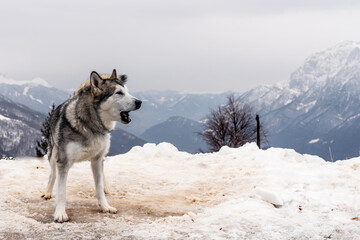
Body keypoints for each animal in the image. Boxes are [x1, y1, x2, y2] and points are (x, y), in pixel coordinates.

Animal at [42, 69, 142, 223]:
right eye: (119, 93)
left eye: (127, 91)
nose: (139, 102)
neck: (90, 126)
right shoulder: (63, 162)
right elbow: (61, 191)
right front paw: (60, 213)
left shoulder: (97, 160)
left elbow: (99, 188)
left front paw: (105, 206)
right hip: (53, 154)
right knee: (52, 174)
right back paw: (48, 192)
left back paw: (107, 187)